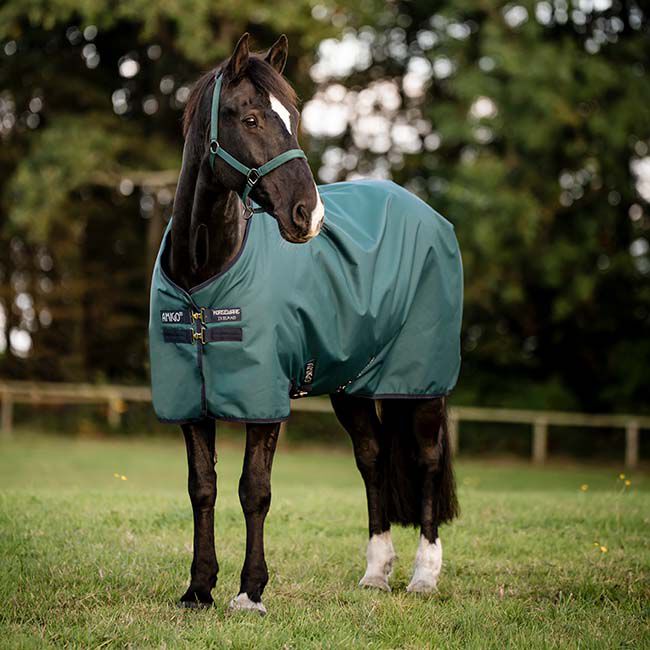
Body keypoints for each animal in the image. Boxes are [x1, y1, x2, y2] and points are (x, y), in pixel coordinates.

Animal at [149, 32, 461, 614]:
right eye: (250, 118)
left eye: (293, 117)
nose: (308, 216)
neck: (204, 276)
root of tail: (427, 213)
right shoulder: (189, 401)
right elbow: (202, 487)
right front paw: (199, 589)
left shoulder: (263, 396)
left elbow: (254, 489)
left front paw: (250, 592)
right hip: (351, 386)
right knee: (372, 459)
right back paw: (376, 573)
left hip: (422, 383)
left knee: (427, 461)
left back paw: (424, 575)